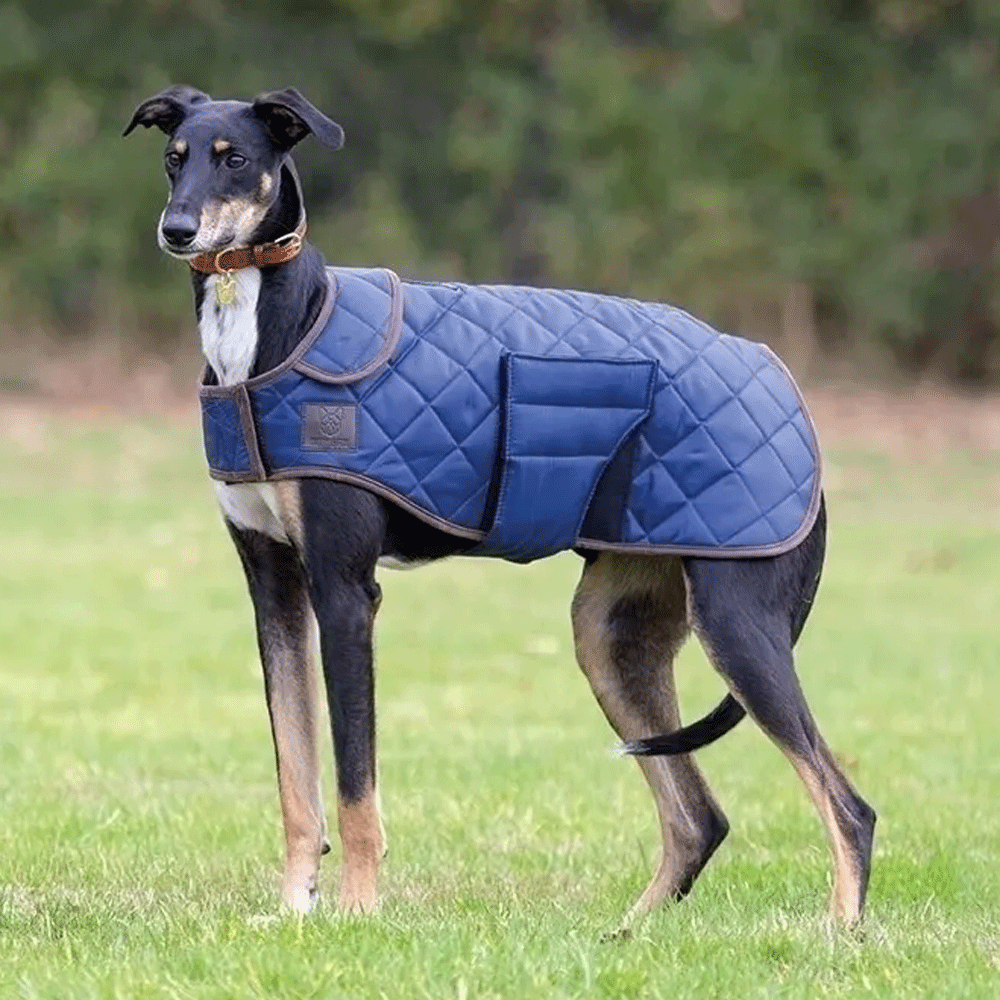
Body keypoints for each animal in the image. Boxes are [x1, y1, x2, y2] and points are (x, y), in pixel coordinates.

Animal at [123, 86, 876, 928]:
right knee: (698, 818)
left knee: (848, 807)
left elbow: (354, 784)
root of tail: (787, 392)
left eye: (237, 159)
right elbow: (297, 779)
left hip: (738, 624)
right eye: (175, 158)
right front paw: (293, 912)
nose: (177, 230)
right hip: (612, 638)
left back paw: (837, 933)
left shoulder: (346, 594)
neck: (277, 327)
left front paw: (356, 912)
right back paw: (627, 935)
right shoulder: (275, 589)